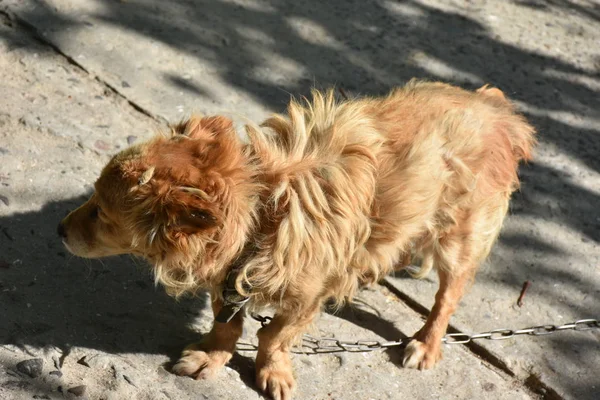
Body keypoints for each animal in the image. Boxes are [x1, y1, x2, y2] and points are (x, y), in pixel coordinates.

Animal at [57, 80, 536, 400]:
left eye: (101, 212)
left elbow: (272, 337)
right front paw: (213, 355)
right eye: (92, 198)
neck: (263, 213)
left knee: (446, 299)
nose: (58, 231)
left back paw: (427, 342)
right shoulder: (229, 281)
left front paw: (272, 370)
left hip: (459, 242)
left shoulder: (305, 299)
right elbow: (227, 325)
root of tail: (495, 108)